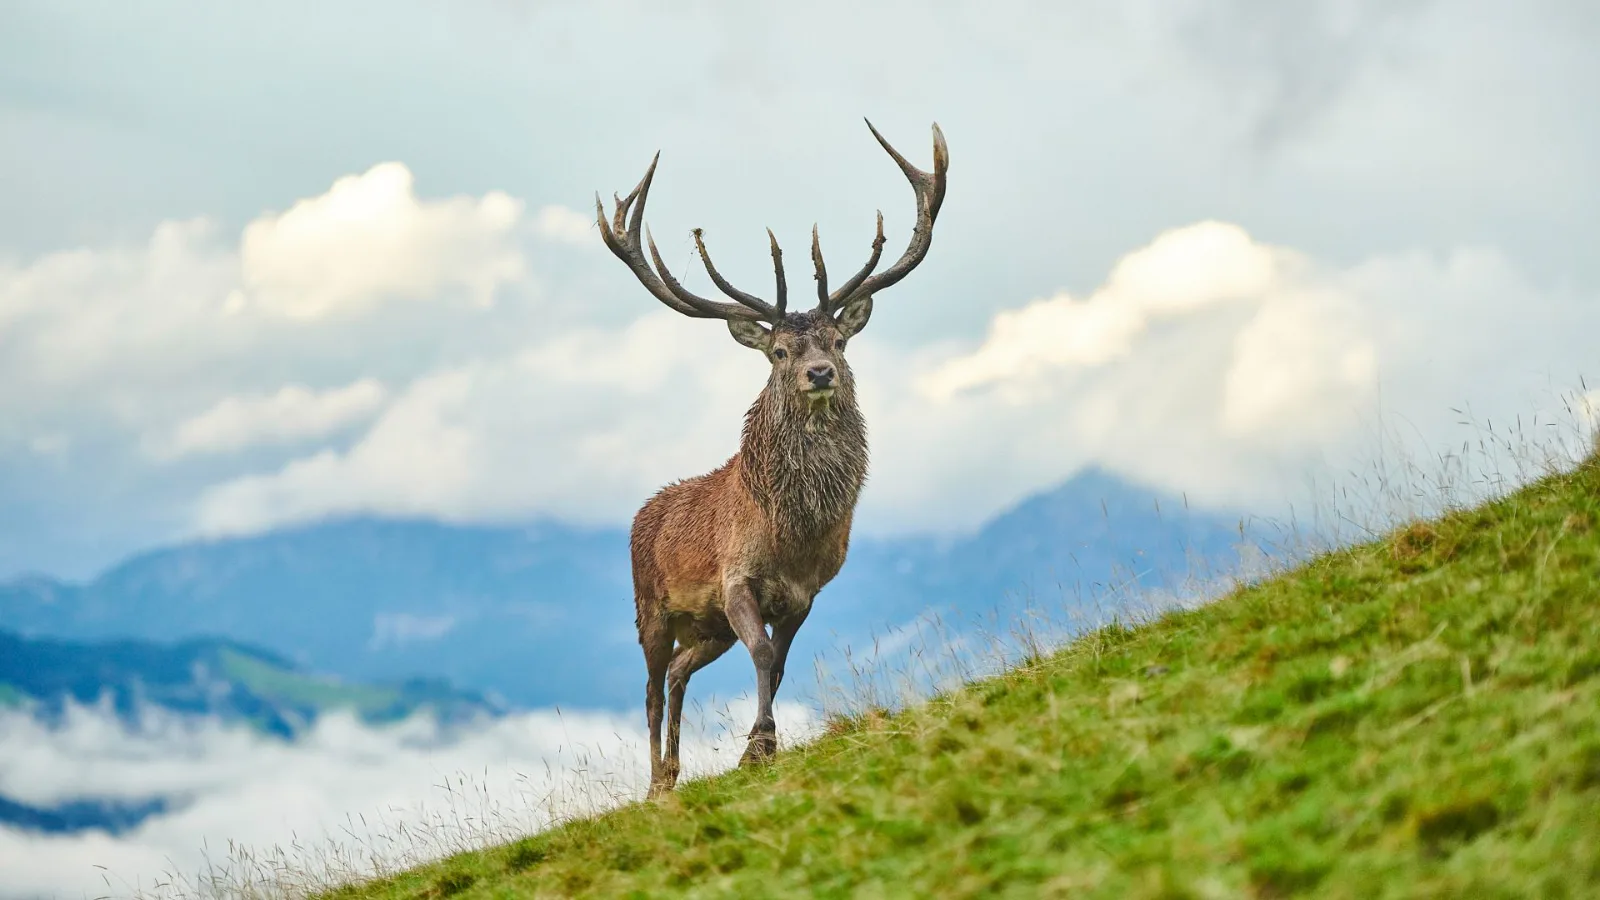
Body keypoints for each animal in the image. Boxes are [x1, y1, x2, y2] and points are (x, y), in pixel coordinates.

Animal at [595, 120, 949, 798]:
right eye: (780, 351)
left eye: (838, 340)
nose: (821, 372)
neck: (793, 533)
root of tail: (645, 511)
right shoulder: (736, 578)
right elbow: (762, 655)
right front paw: (759, 744)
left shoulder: (806, 593)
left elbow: (780, 663)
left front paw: (757, 745)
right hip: (649, 605)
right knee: (650, 684)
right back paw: (655, 785)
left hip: (705, 628)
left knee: (679, 671)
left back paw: (675, 770)